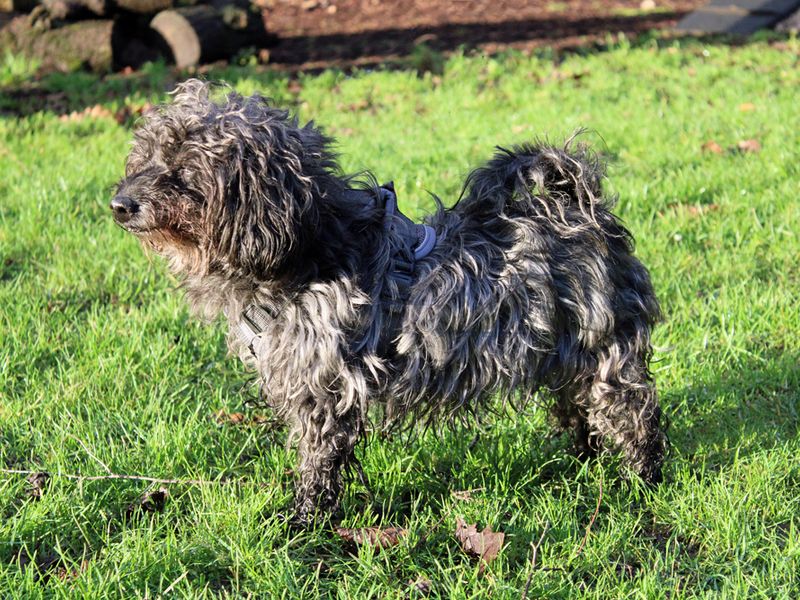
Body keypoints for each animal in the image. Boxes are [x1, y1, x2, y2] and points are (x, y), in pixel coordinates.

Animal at [109, 81, 664, 524]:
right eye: (145, 159)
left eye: (183, 171)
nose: (118, 205)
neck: (310, 250)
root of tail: (582, 207)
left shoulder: (325, 391)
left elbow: (318, 461)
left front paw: (304, 519)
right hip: (564, 357)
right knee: (580, 412)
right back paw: (582, 462)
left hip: (607, 358)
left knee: (636, 417)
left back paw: (641, 480)